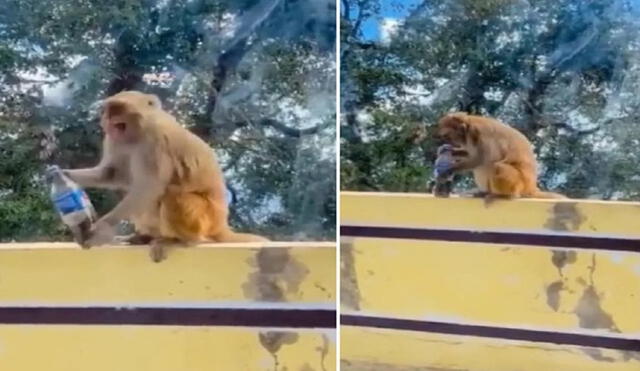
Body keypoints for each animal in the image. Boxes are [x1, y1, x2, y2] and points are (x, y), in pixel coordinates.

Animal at [62, 89, 268, 262]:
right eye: (108, 111)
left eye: (119, 110)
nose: (107, 117)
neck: (136, 133)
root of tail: (220, 224)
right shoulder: (113, 140)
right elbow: (110, 173)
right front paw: (62, 175)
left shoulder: (154, 141)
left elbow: (149, 186)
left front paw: (102, 227)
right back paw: (145, 237)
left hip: (204, 219)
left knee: (172, 195)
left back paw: (180, 240)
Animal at [436, 112, 564, 202]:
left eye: (446, 136)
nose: (447, 142)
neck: (470, 128)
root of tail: (531, 187)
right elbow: (471, 153)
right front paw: (447, 151)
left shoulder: (481, 135)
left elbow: (480, 159)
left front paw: (449, 170)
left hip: (518, 184)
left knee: (496, 166)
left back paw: (501, 195)